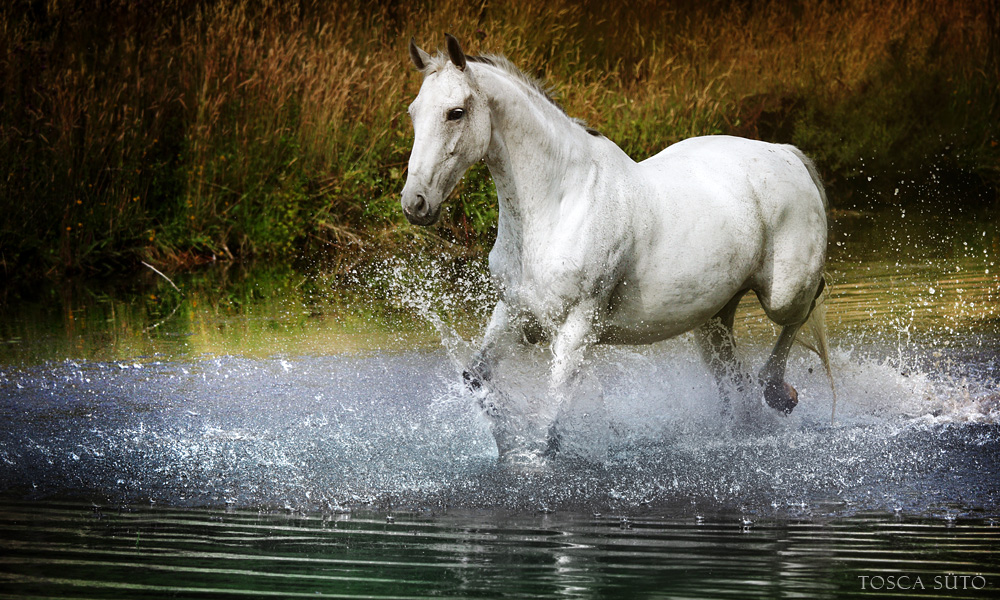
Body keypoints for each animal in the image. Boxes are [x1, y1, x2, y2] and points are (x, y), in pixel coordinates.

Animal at [401, 35, 831, 459]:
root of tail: (786, 154)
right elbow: (475, 378)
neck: (559, 204)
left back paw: (779, 393)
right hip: (713, 315)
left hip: (782, 294)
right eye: (413, 113)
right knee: (732, 374)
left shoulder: (576, 327)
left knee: (805, 306)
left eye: (455, 112)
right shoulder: (513, 311)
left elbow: (550, 418)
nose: (415, 203)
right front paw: (504, 441)